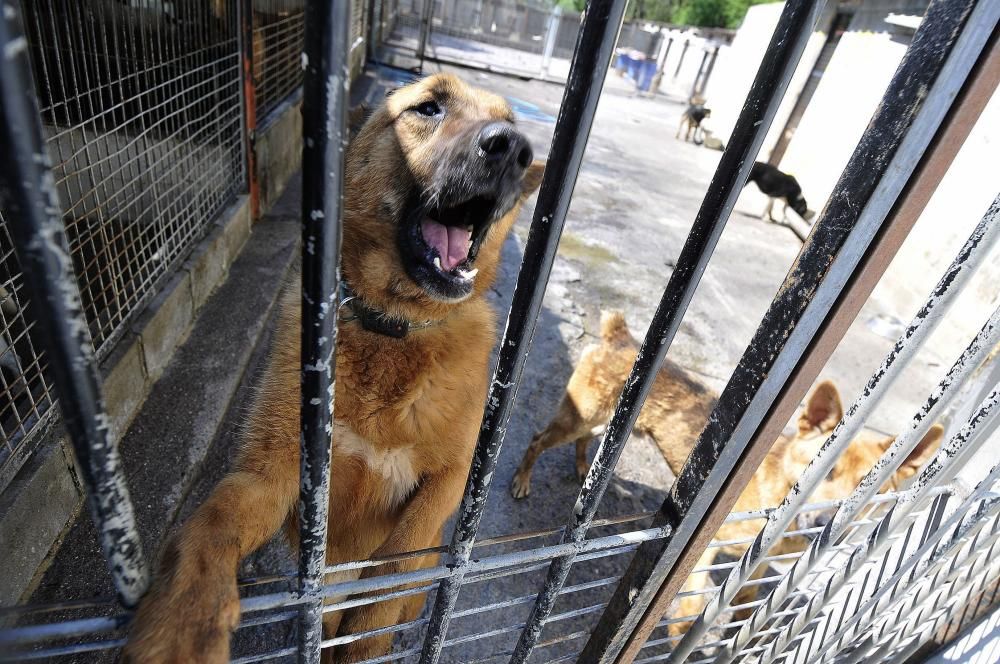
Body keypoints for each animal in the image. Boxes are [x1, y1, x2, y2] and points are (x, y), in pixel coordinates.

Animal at [126, 74, 548, 664]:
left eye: (509, 121)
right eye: (428, 108)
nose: (513, 147)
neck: (391, 328)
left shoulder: (453, 477)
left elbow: (392, 570)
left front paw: (369, 633)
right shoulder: (272, 476)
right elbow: (208, 528)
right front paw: (181, 622)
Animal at [512, 314, 940, 636]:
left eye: (870, 487)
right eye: (824, 472)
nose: (820, 523)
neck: (779, 496)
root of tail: (621, 337)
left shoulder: (757, 564)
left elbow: (746, 599)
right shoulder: (706, 549)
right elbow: (691, 603)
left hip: (602, 424)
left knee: (585, 444)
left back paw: (582, 468)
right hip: (579, 417)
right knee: (535, 440)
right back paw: (522, 480)